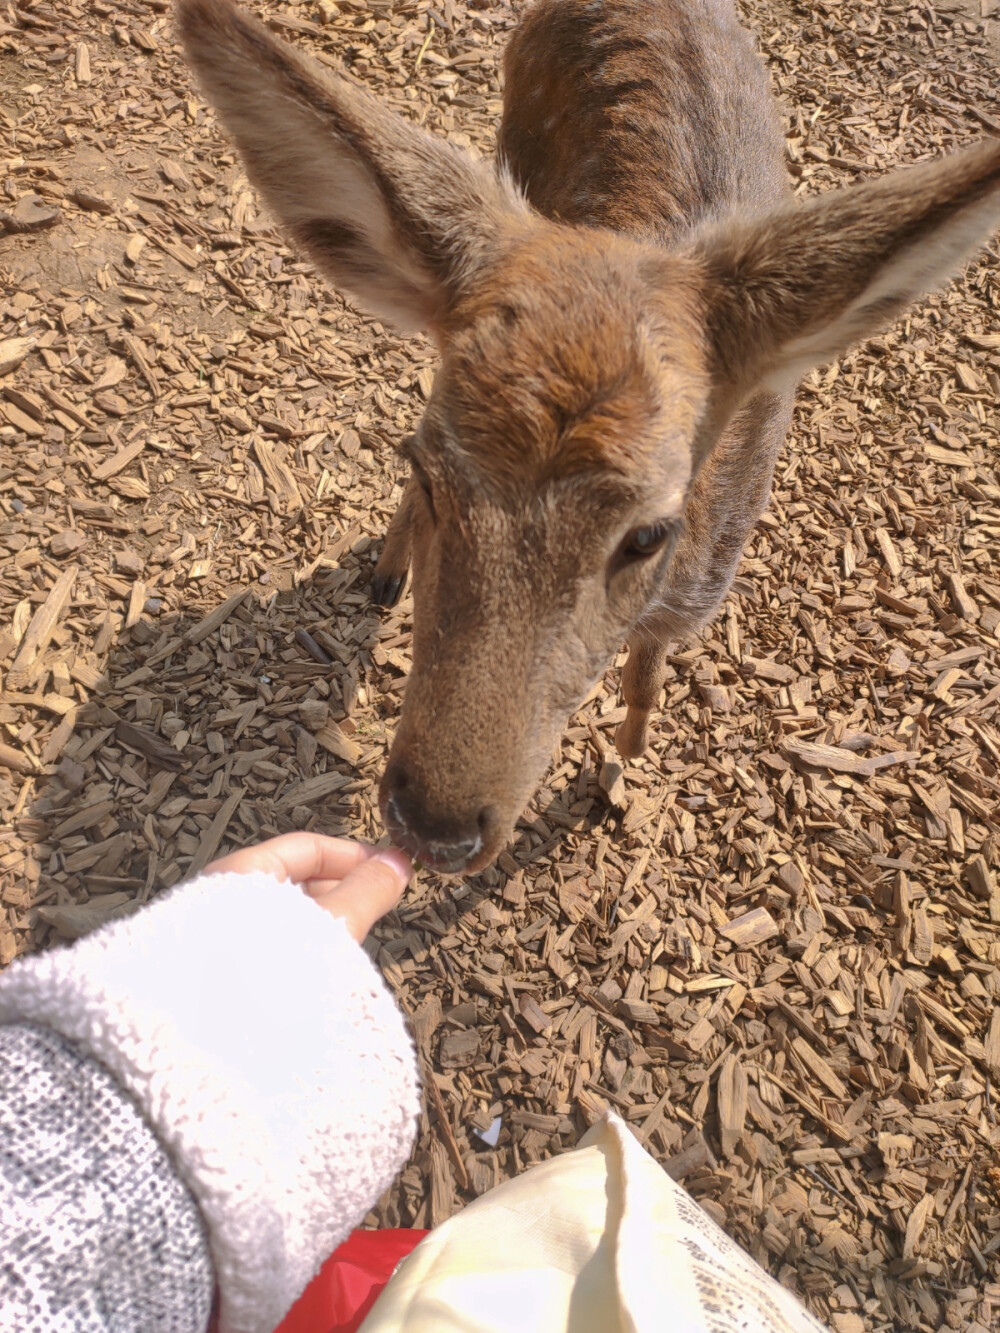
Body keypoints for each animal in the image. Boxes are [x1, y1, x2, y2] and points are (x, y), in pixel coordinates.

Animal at [178, 0, 1000, 874]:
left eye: (649, 533)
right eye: (430, 476)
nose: (434, 826)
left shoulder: (699, 593)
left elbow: (646, 676)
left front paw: (629, 753)